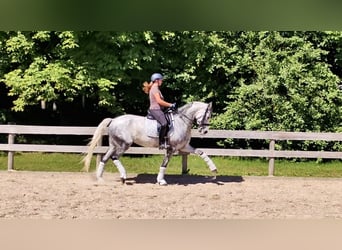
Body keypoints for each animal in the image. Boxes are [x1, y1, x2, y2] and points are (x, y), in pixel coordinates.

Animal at [82, 101, 216, 186]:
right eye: (208, 116)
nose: (204, 131)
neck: (181, 121)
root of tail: (113, 120)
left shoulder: (184, 147)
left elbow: (201, 152)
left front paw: (214, 169)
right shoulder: (171, 149)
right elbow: (164, 164)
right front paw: (161, 181)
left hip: (114, 145)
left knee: (104, 158)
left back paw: (100, 179)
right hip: (124, 144)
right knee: (114, 157)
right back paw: (123, 177)